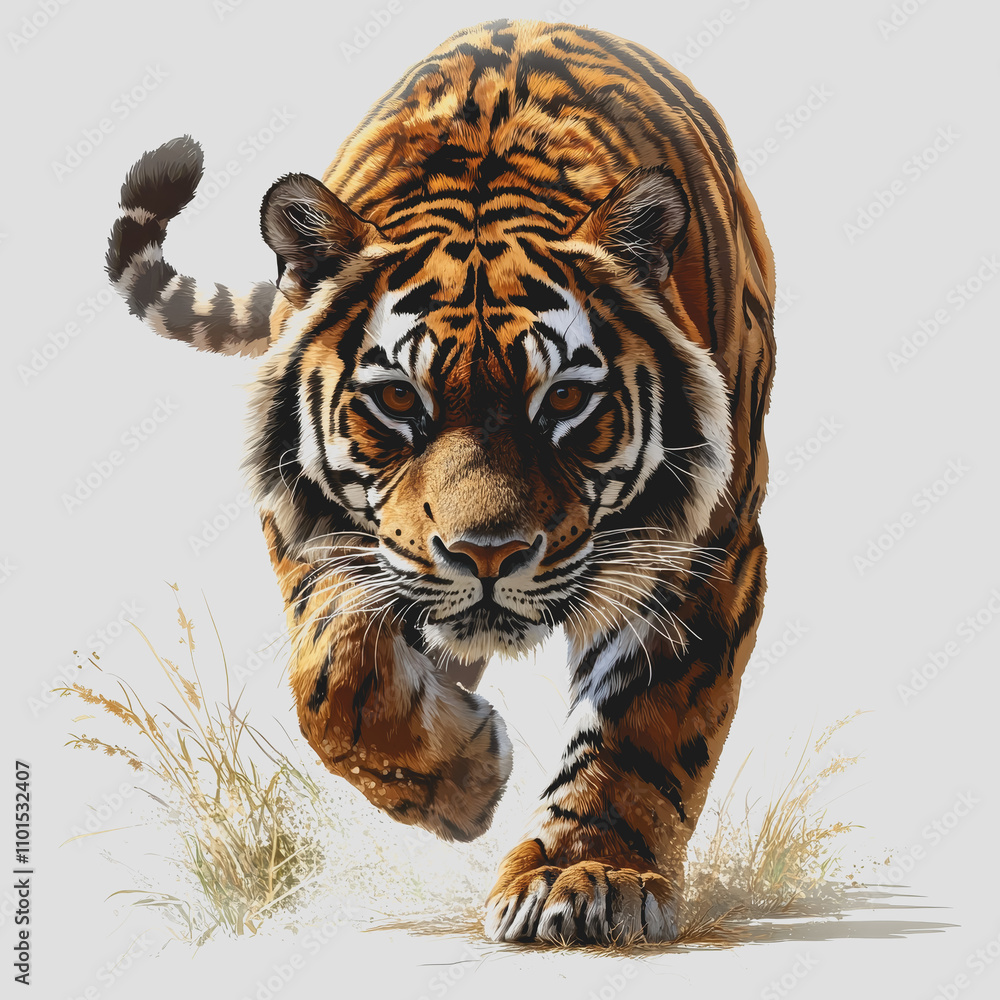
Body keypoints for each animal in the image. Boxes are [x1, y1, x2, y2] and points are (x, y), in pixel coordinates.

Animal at [104, 18, 775, 945]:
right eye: (397, 399)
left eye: (564, 398)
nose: (486, 555)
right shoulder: (312, 528)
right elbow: (334, 680)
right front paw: (464, 784)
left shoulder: (702, 547)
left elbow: (641, 726)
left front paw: (586, 875)